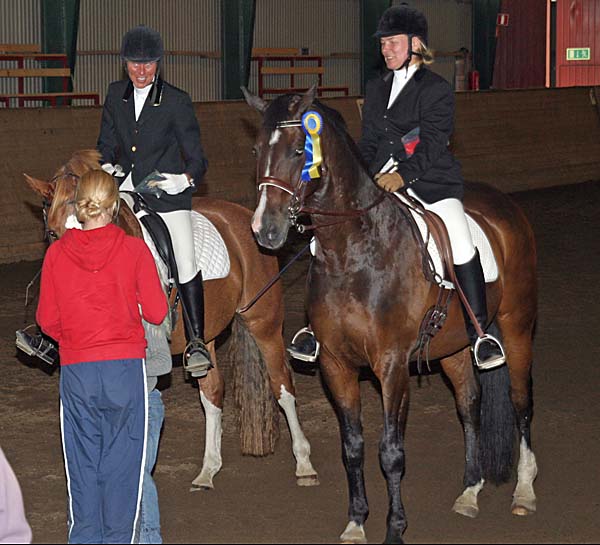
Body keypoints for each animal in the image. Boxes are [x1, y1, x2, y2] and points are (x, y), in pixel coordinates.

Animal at [24, 149, 319, 492]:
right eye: (53, 233)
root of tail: (246, 217)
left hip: (264, 323)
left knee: (282, 385)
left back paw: (304, 464)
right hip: (205, 334)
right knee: (213, 391)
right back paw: (207, 471)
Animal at [243, 87, 538, 544]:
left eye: (297, 150)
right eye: (258, 150)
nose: (266, 230)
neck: (353, 253)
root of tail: (504, 205)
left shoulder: (392, 365)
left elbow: (391, 451)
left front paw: (395, 528)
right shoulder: (336, 364)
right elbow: (353, 447)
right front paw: (355, 522)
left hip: (518, 325)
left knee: (520, 401)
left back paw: (524, 492)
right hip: (454, 345)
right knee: (470, 404)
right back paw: (470, 492)